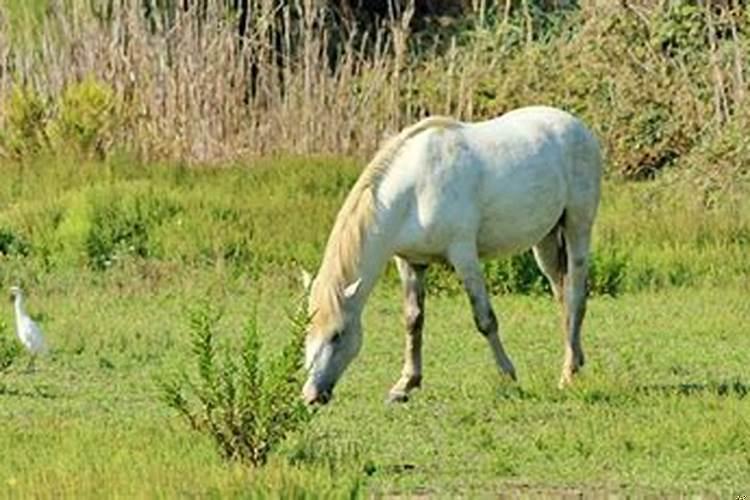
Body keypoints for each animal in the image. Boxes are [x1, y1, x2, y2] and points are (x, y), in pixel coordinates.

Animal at [302, 106, 604, 406]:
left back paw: (567, 375)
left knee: (576, 297)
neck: (414, 192)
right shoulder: (411, 262)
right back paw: (575, 362)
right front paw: (405, 384)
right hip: (546, 241)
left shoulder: (464, 255)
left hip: (577, 227)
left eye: (337, 335)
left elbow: (485, 319)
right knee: (563, 299)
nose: (311, 395)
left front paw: (508, 376)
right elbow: (413, 321)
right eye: (308, 330)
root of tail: (579, 127)